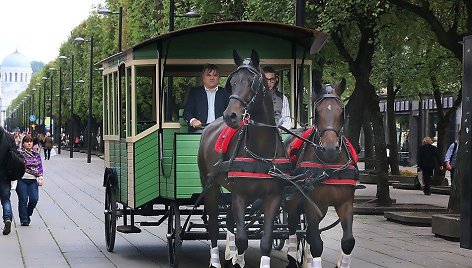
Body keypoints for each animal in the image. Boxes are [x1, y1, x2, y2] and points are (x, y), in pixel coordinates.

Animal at [197, 50, 290, 268]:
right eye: (232, 81)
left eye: (252, 82)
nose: (230, 115)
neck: (261, 150)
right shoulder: (239, 195)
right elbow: (242, 239)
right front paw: (236, 259)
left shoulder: (273, 197)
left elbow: (265, 241)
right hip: (210, 185)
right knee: (214, 224)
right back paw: (215, 260)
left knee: (230, 220)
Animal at [284, 80, 358, 268]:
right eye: (317, 112)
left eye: (342, 111)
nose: (330, 149)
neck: (329, 166)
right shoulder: (312, 204)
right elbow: (316, 243)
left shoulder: (345, 203)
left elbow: (348, 241)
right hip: (293, 201)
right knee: (293, 227)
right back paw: (292, 258)